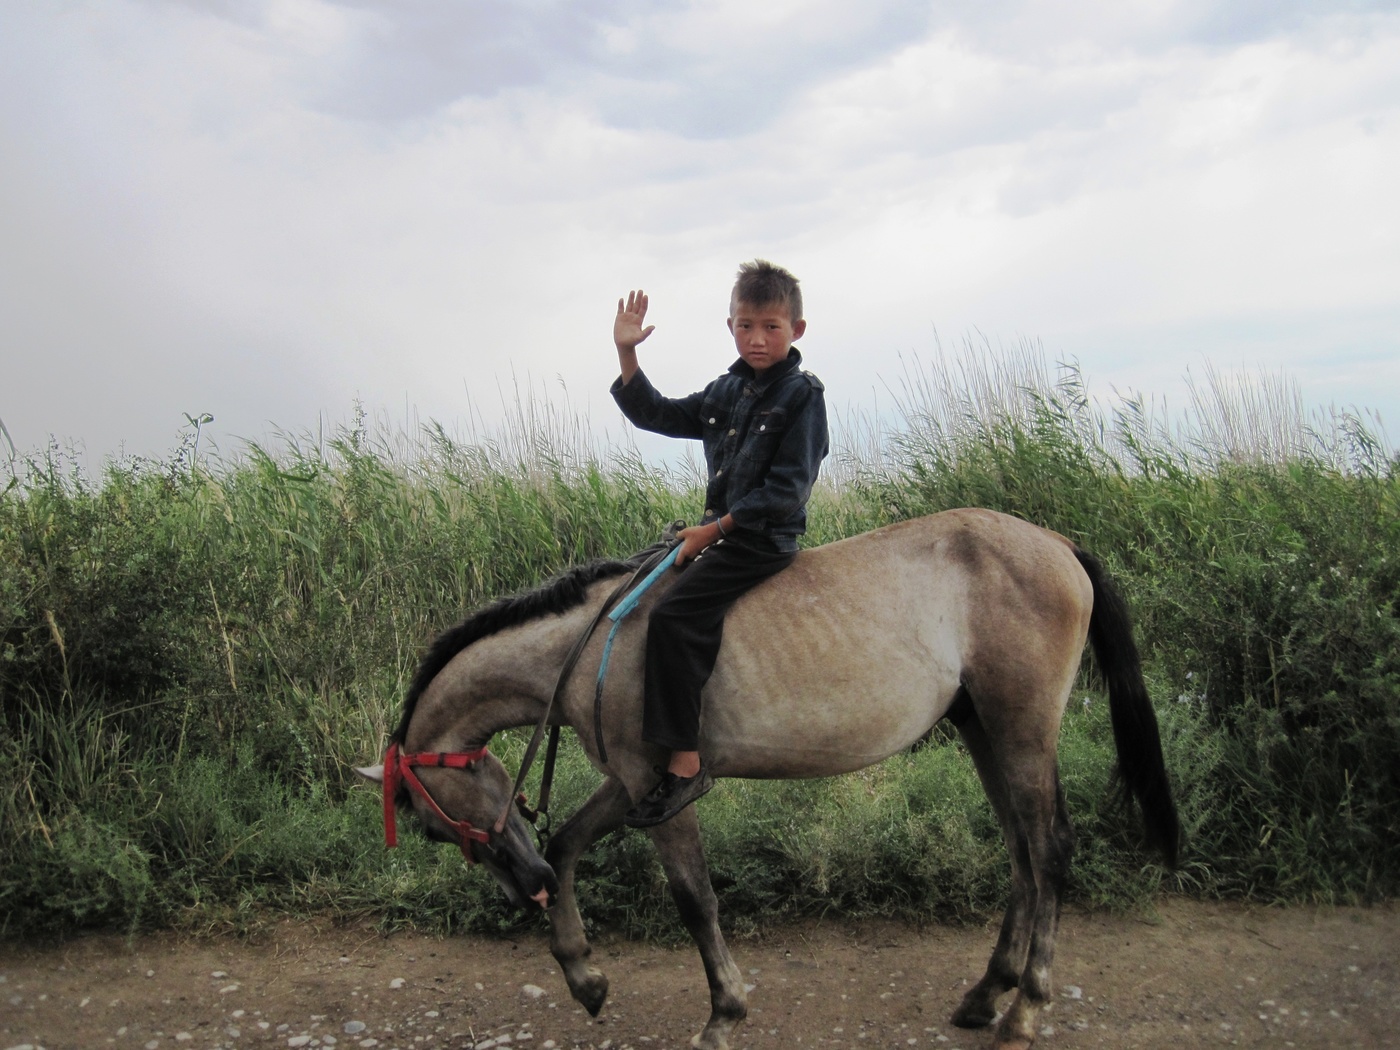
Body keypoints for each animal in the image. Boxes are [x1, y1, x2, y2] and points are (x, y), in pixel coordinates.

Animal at [355, 509, 1176, 1050]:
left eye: (430, 825)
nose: (522, 888)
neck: (593, 645)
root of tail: (1057, 544)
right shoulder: (630, 784)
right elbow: (567, 846)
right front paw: (585, 978)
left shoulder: (656, 788)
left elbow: (694, 899)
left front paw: (724, 1012)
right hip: (983, 727)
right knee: (1020, 853)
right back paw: (986, 993)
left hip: (1021, 726)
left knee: (1049, 849)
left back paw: (1025, 1009)